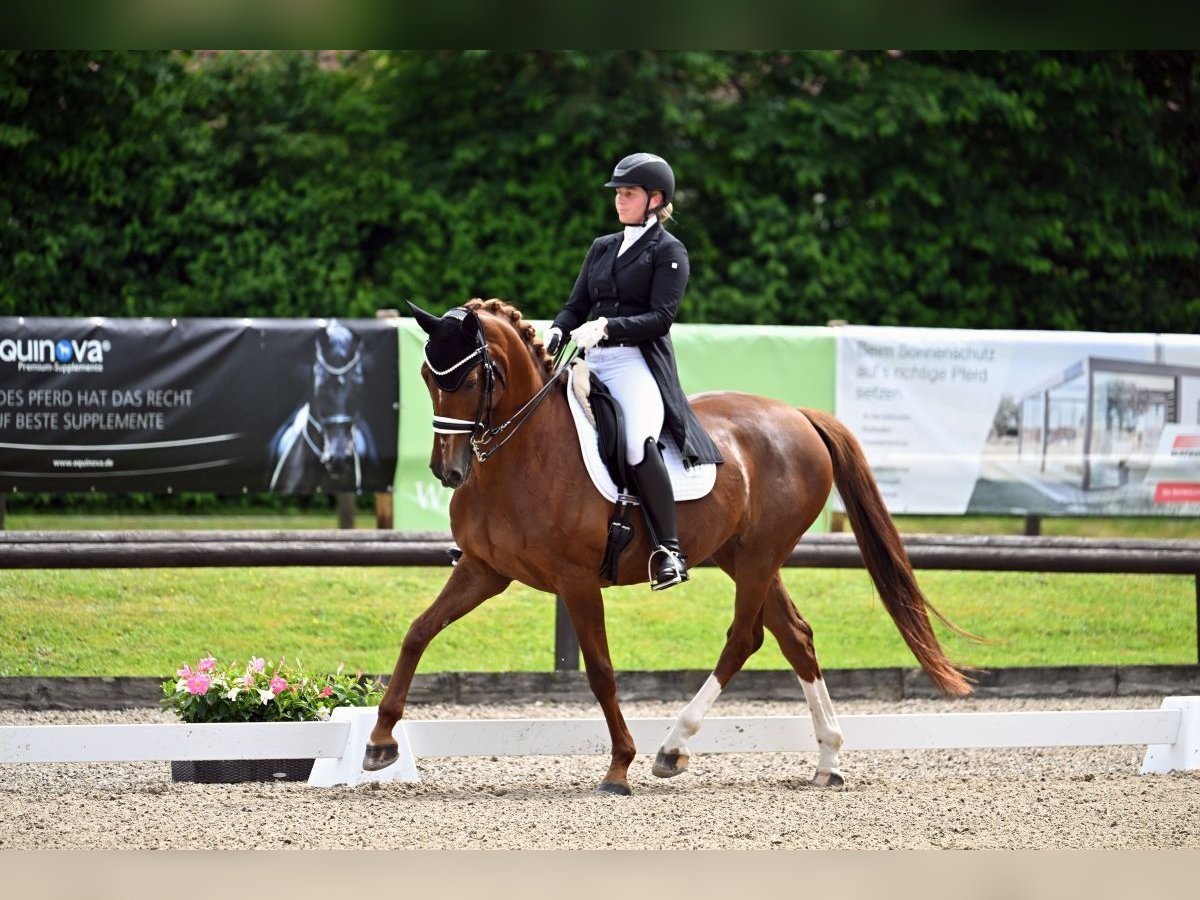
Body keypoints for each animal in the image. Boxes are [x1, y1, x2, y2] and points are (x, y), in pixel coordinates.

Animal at [367, 300, 974, 792]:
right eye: (427, 376)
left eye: (471, 380)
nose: (448, 471)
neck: (524, 451)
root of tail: (799, 415)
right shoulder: (484, 569)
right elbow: (417, 632)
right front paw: (379, 741)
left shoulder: (576, 579)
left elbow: (600, 670)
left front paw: (619, 766)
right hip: (741, 555)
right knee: (795, 637)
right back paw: (826, 760)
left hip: (760, 556)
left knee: (744, 638)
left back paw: (673, 746)